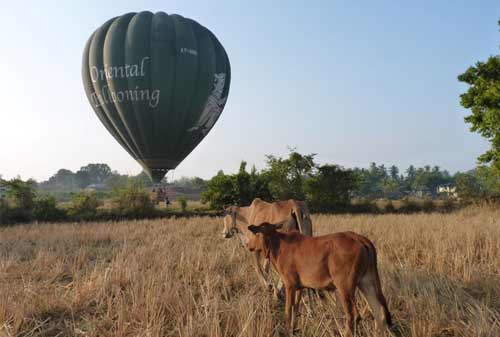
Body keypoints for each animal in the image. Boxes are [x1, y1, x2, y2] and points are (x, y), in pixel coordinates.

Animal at [248, 222, 392, 334]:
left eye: (255, 233)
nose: (249, 244)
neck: (277, 244)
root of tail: (360, 239)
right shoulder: (300, 287)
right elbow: (295, 309)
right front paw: (293, 329)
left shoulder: (289, 285)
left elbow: (288, 310)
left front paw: (287, 330)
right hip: (366, 283)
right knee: (379, 313)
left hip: (344, 287)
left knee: (354, 316)